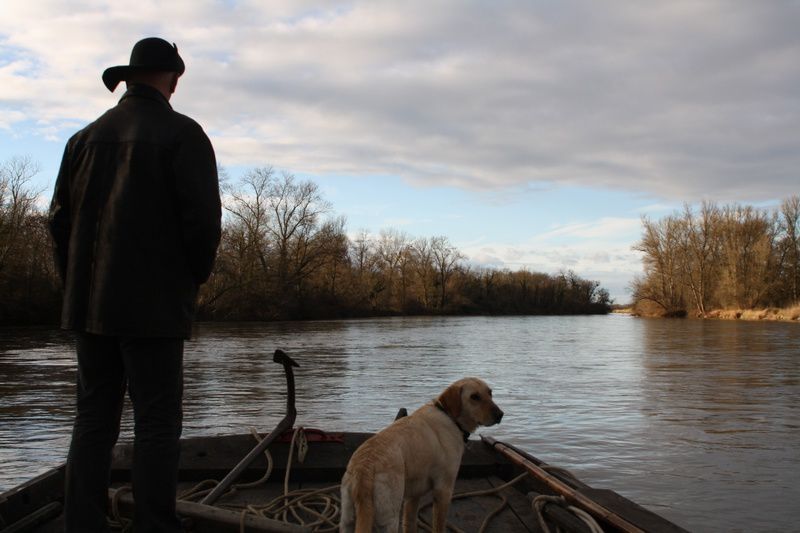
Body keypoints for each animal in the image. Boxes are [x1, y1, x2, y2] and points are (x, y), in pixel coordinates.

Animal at [340, 376, 504, 528]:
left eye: (490, 393)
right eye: (474, 397)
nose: (500, 414)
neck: (450, 418)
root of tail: (364, 468)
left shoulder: (413, 496)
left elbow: (410, 524)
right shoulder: (443, 490)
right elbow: (438, 526)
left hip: (347, 519)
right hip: (388, 517)